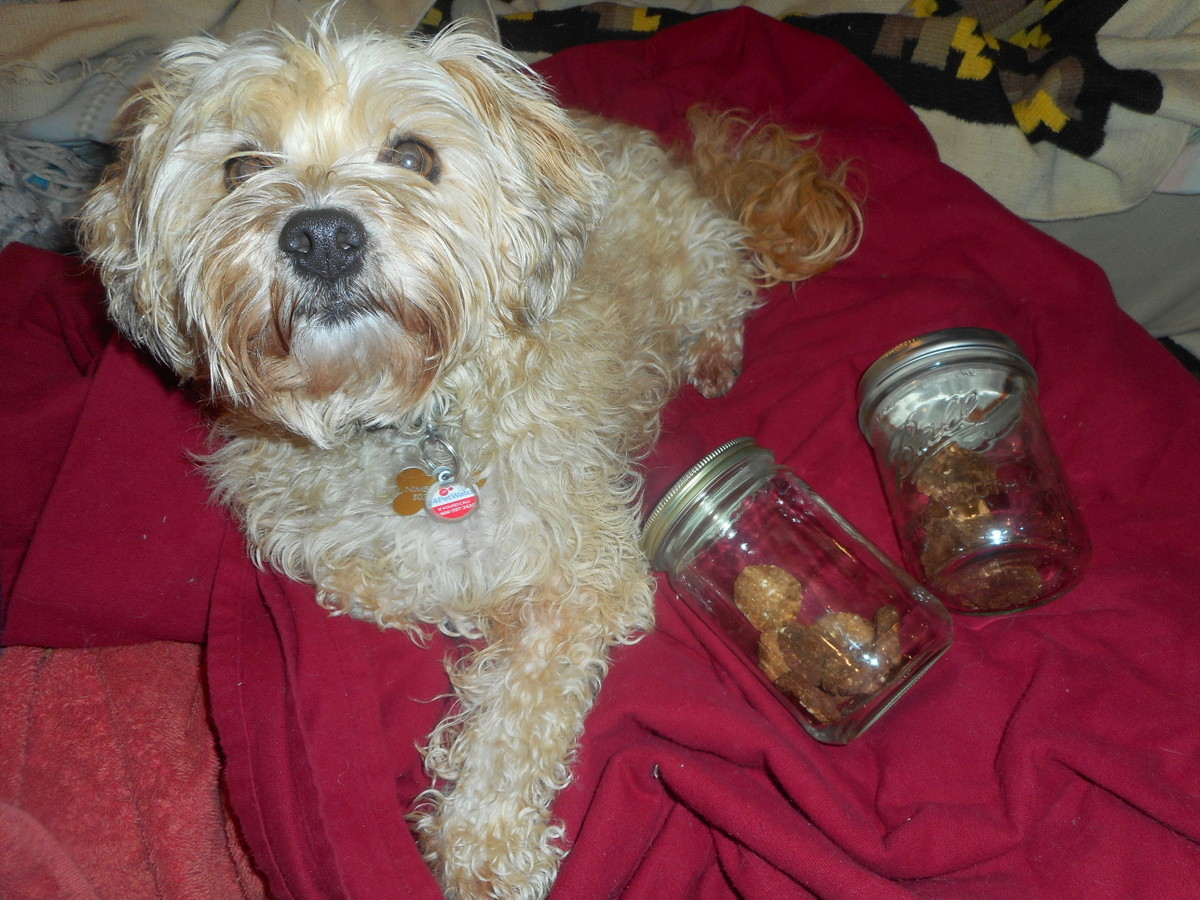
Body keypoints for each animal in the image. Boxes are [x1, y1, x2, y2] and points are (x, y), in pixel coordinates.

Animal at [77, 14, 864, 900]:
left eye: (413, 155)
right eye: (241, 167)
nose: (321, 235)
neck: (402, 418)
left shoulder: (585, 575)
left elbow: (517, 713)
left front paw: (485, 840)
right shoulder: (329, 555)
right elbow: (401, 592)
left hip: (700, 272)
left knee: (726, 297)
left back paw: (714, 356)